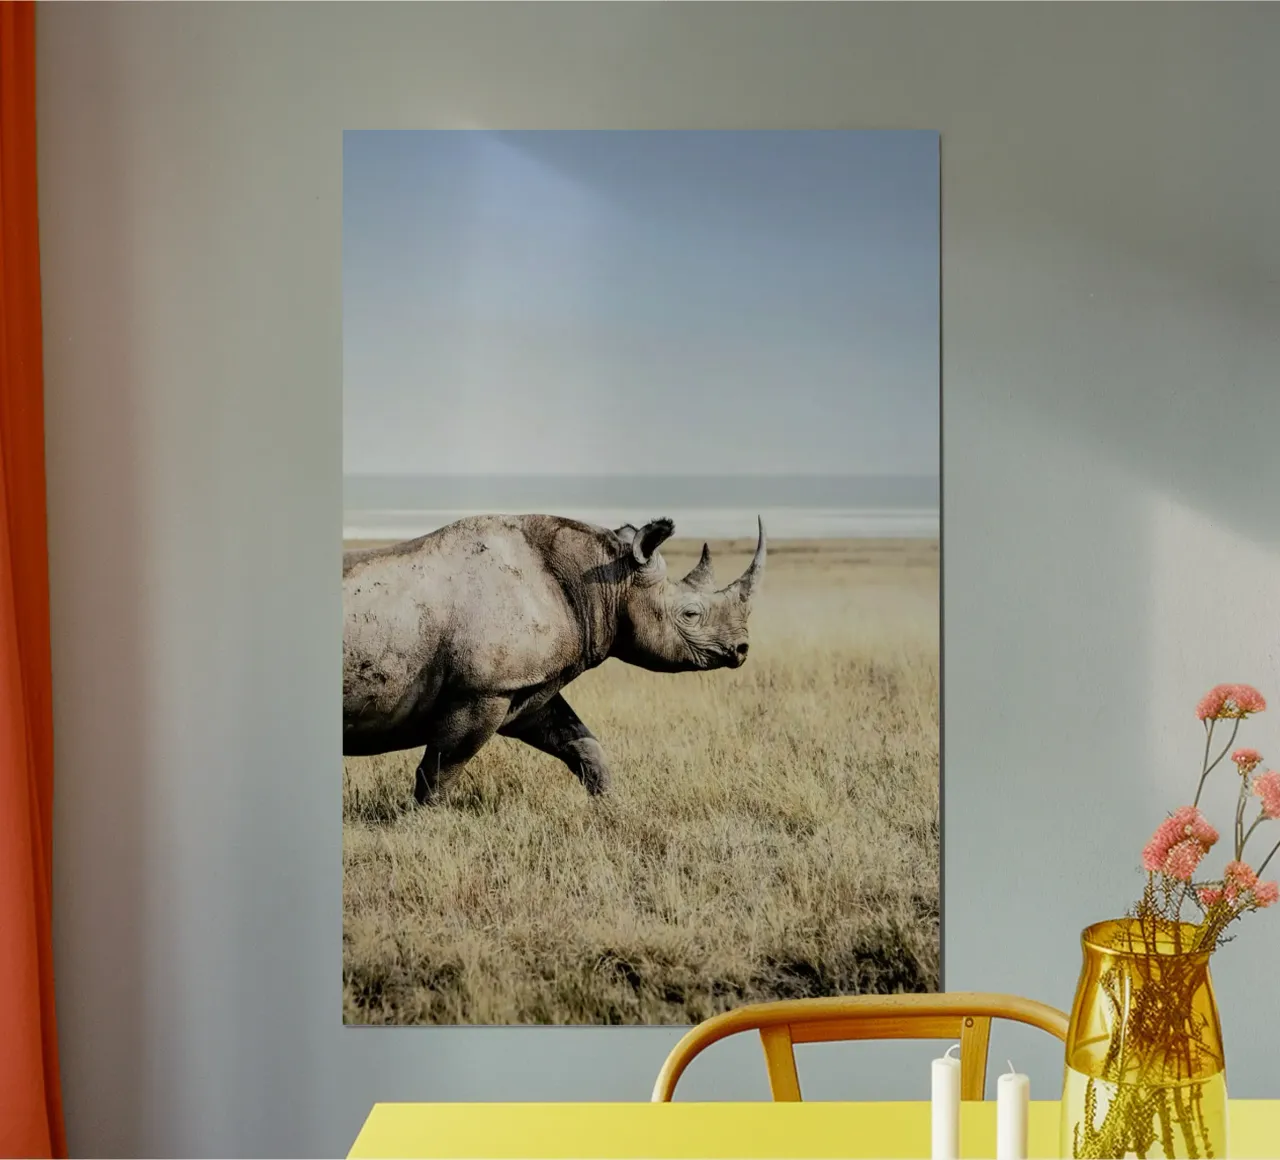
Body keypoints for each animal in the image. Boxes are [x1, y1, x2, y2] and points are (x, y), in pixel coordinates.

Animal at [342, 513, 765, 803]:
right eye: (690, 614)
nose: (742, 649)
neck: (604, 582)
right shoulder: (483, 690)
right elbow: (441, 769)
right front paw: (423, 825)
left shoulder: (526, 687)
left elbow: (581, 743)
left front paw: (611, 808)